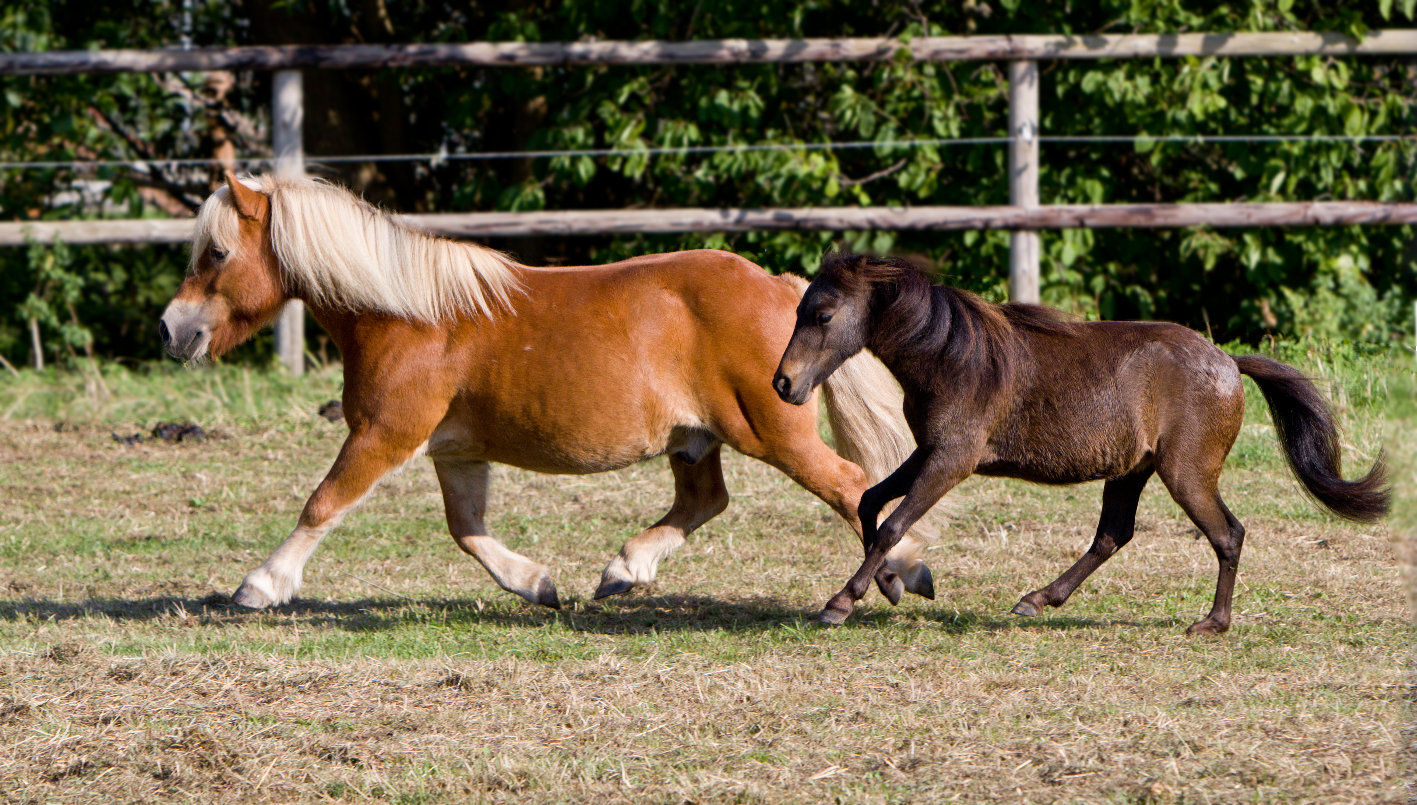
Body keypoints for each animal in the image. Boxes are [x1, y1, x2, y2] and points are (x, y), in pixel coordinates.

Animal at [157, 175, 940, 612]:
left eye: (217, 253)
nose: (172, 329)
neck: (408, 315)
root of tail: (781, 286)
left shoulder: (385, 434)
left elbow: (321, 503)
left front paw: (259, 585)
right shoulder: (454, 451)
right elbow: (466, 529)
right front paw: (535, 583)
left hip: (772, 432)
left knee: (848, 482)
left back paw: (904, 567)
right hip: (696, 439)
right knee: (705, 501)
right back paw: (624, 570)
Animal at [776, 255, 1382, 632]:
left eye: (822, 314)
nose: (783, 384)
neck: (953, 357)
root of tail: (1230, 363)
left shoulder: (952, 459)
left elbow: (894, 522)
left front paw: (841, 603)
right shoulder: (929, 452)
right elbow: (870, 502)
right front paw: (893, 584)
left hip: (1187, 472)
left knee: (1227, 533)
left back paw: (1211, 622)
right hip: (1132, 470)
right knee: (1113, 535)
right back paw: (1037, 600)